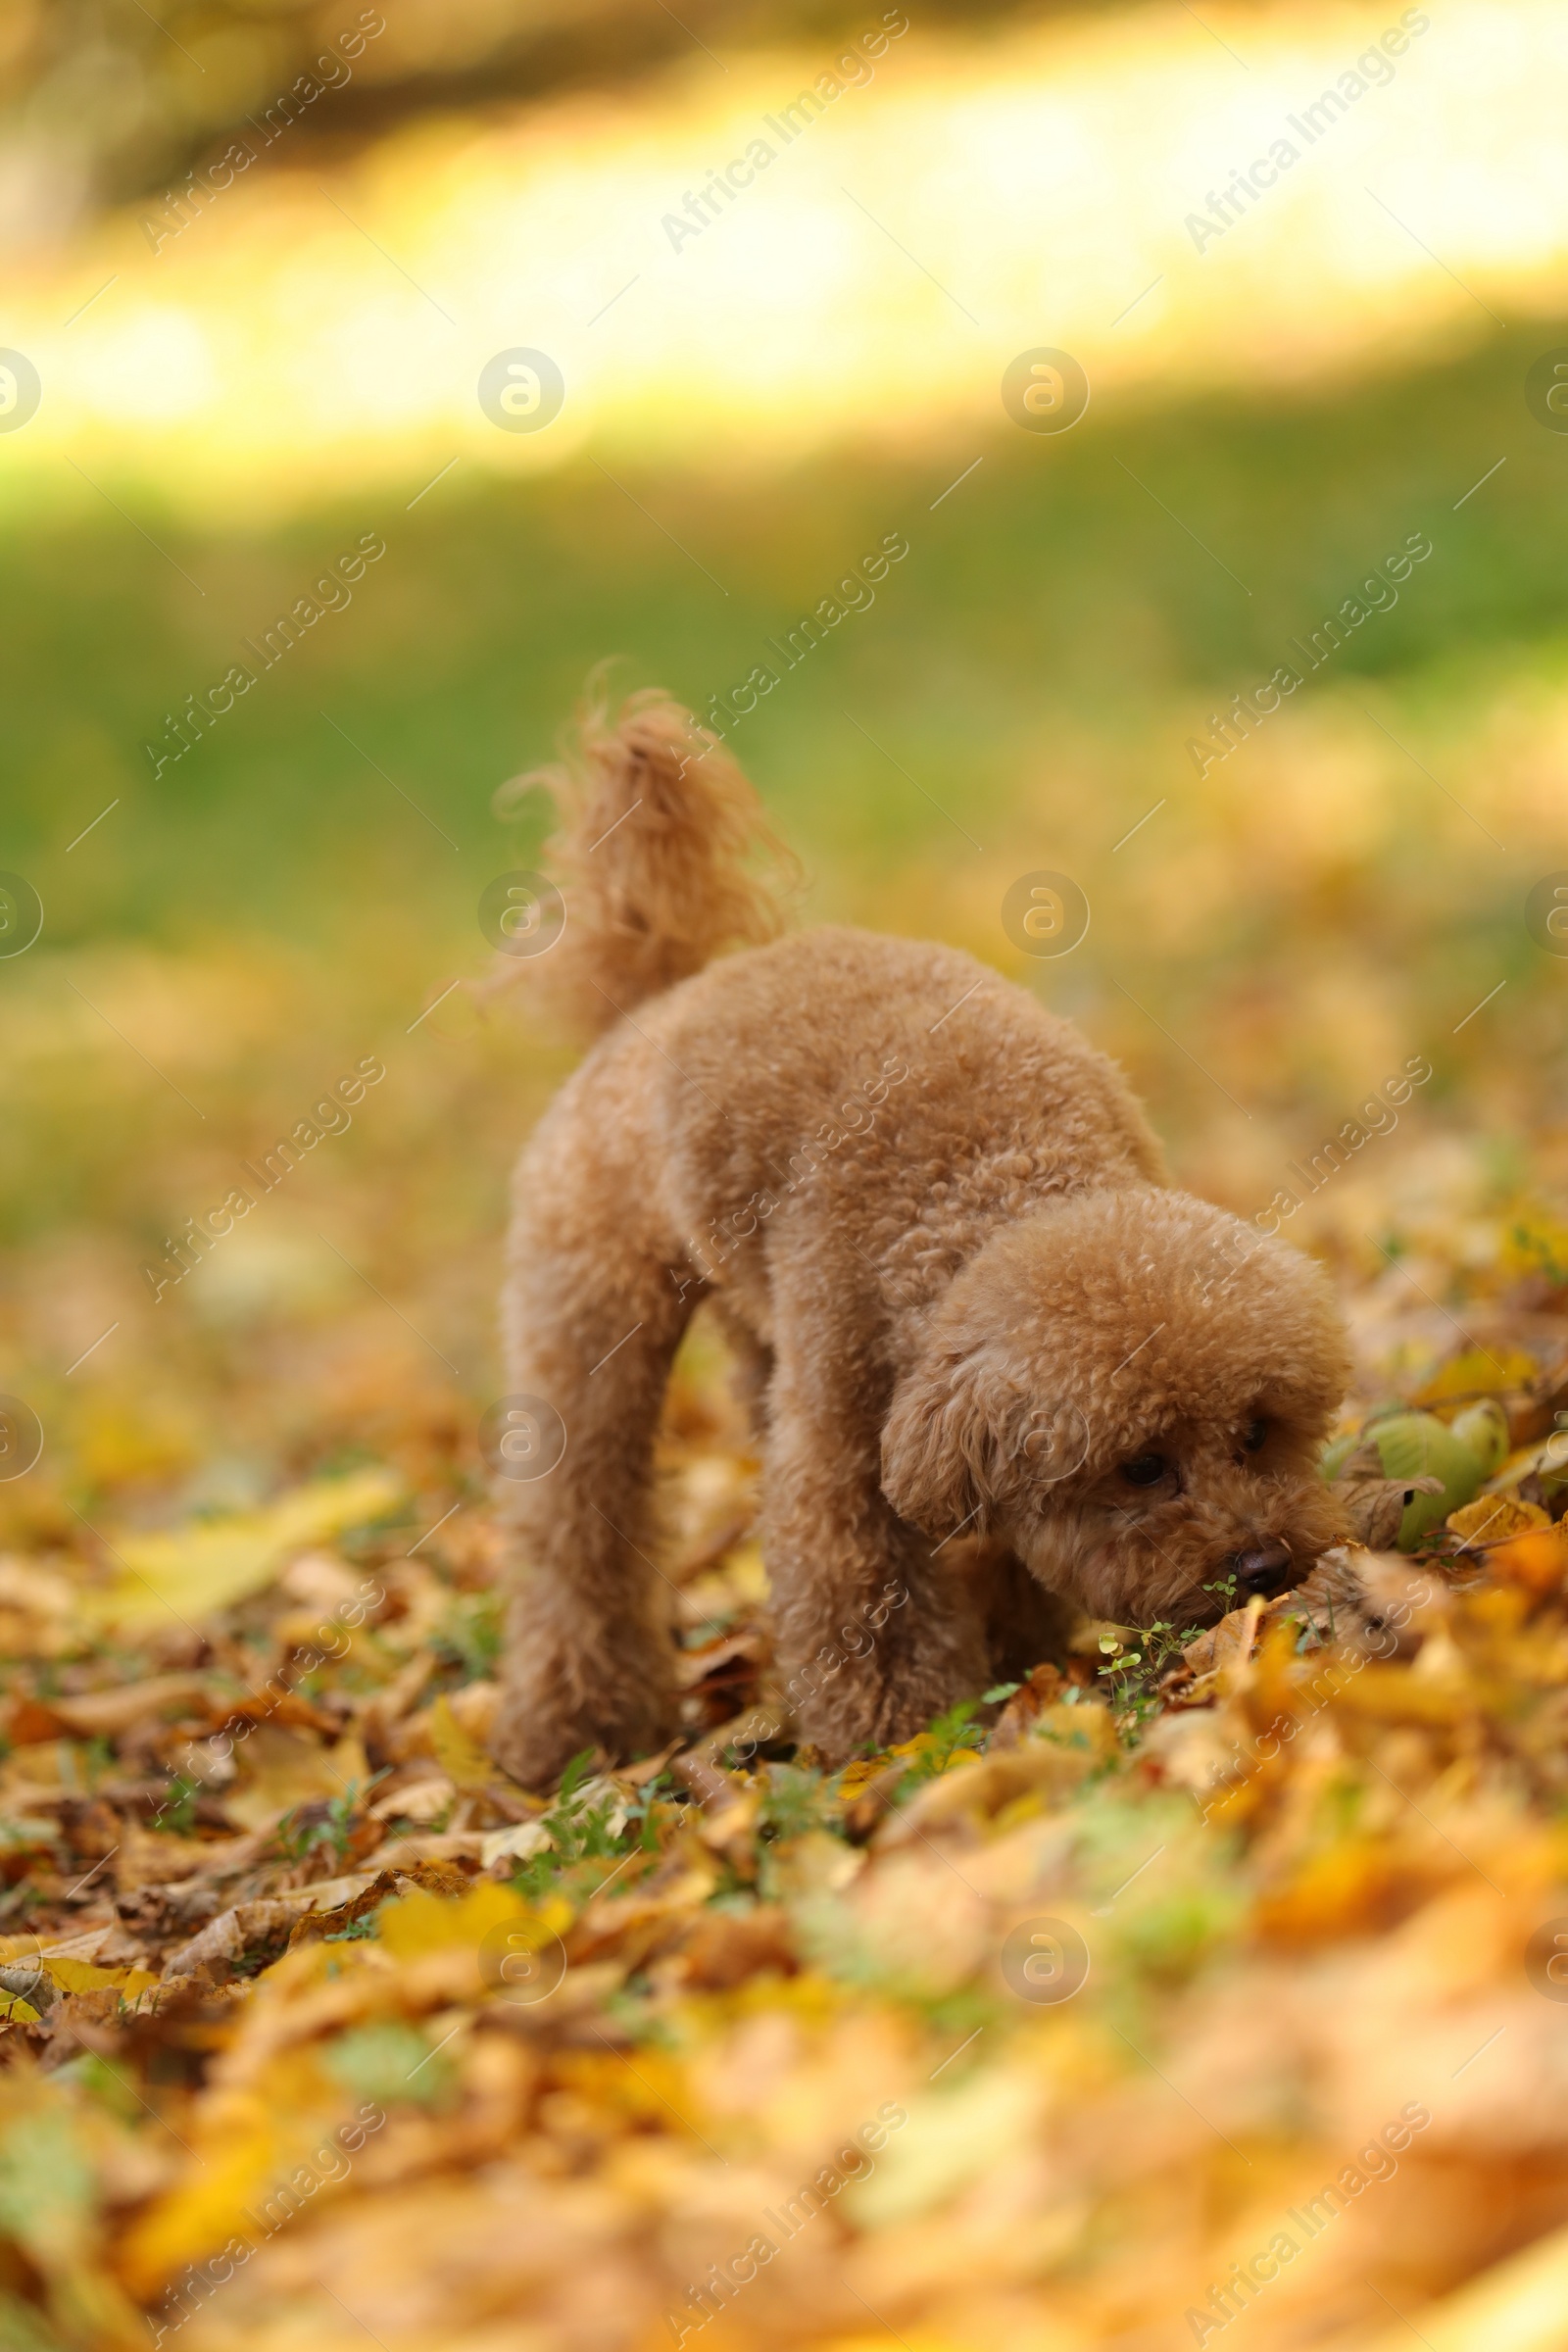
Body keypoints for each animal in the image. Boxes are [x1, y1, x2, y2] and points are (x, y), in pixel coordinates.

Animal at [491, 686, 1353, 1778]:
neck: (1001, 1186)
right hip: (589, 1322)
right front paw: (904, 1741)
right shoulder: (850, 1443)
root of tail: (654, 1001)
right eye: (1141, 1467)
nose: (1263, 1561)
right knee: (577, 1536)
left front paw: (1013, 1654)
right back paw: (575, 1732)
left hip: (753, 1333)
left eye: (1255, 1432)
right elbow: (869, 1598)